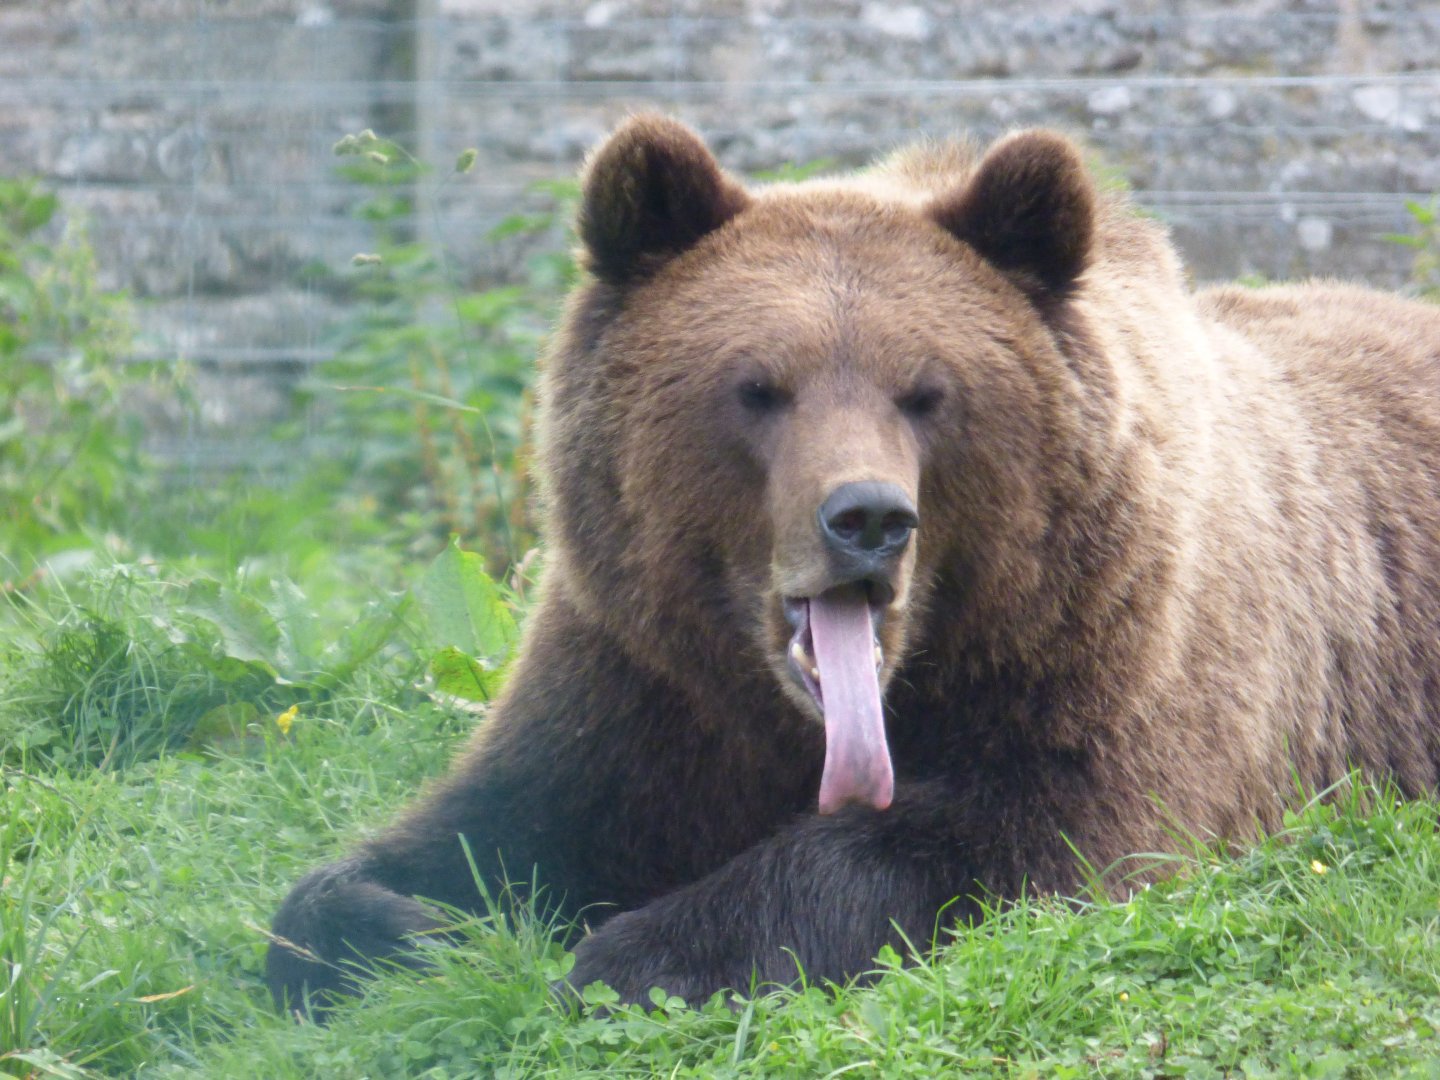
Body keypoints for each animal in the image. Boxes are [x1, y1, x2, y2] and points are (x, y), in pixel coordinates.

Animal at [267, 114, 1440, 1014]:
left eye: (927, 392)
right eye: (758, 387)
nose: (868, 517)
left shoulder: (1115, 661)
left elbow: (999, 842)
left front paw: (634, 954)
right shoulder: (637, 682)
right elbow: (478, 829)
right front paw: (408, 929)